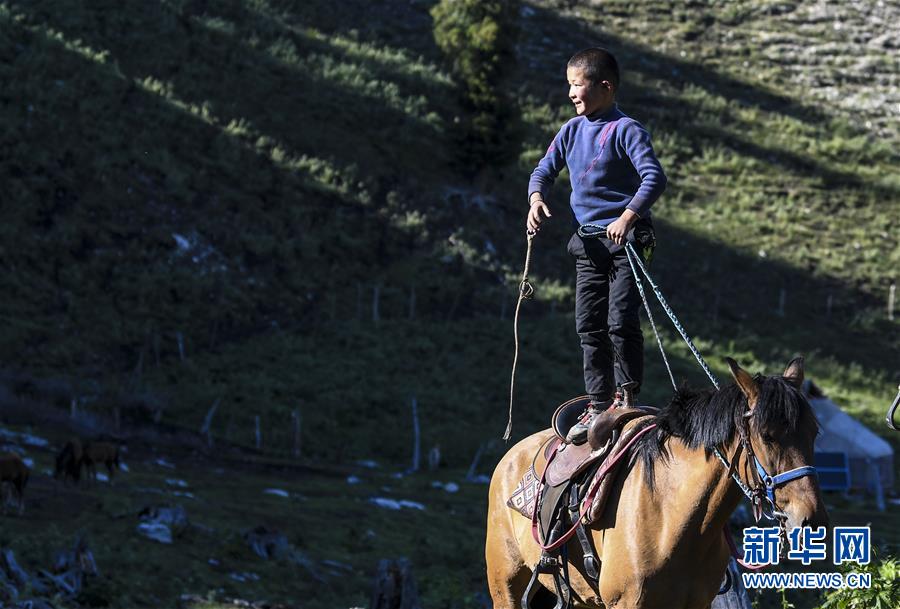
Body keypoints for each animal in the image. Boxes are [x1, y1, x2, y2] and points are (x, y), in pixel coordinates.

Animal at [488, 356, 828, 608]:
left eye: (813, 433)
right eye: (767, 436)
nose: (811, 520)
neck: (672, 516)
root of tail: (511, 456)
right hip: (506, 588)